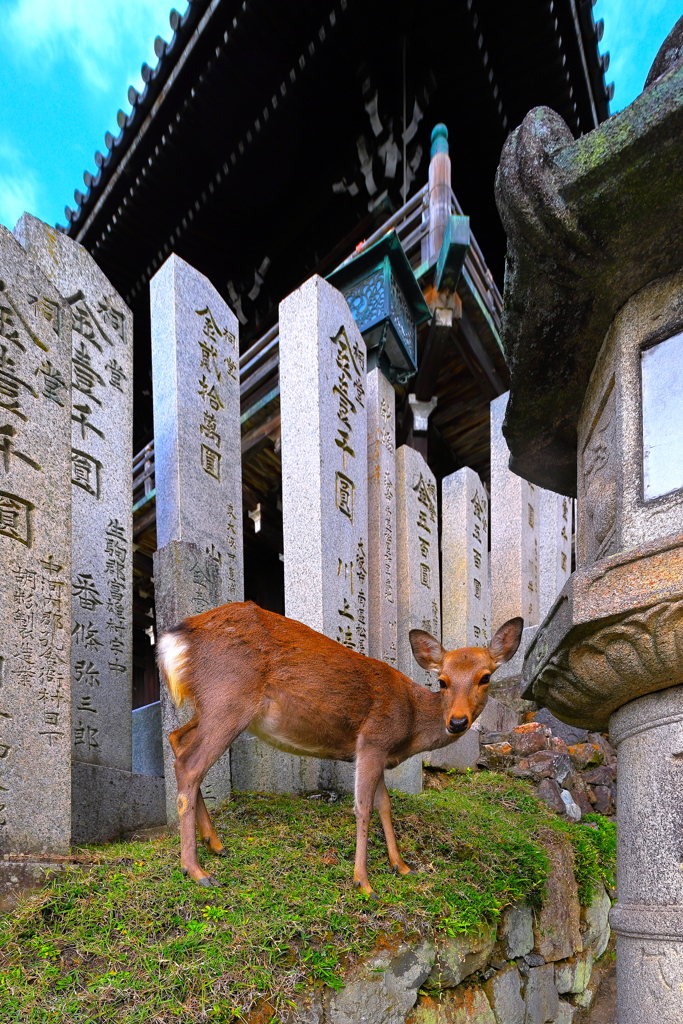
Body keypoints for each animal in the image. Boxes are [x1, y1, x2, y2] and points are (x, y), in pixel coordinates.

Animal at [158, 602, 524, 892]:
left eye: (485, 677)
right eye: (442, 681)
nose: (457, 721)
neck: (409, 726)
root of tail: (176, 637)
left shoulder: (378, 752)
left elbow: (384, 806)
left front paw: (401, 866)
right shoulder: (373, 739)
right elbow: (362, 807)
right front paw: (364, 882)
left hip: (212, 706)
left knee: (177, 740)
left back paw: (215, 843)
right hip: (228, 699)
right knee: (190, 765)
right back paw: (197, 870)